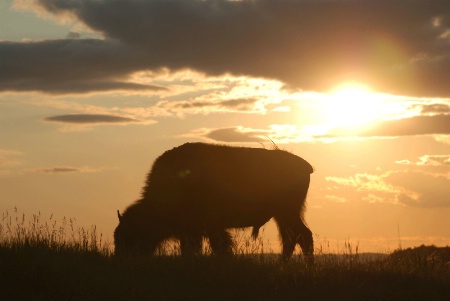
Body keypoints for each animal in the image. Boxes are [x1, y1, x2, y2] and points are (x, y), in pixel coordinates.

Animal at [114, 142, 314, 262]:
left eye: (131, 235)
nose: (121, 258)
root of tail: (306, 166)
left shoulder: (205, 227)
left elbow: (215, 247)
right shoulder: (197, 229)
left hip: (286, 212)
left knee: (301, 236)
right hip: (283, 215)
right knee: (294, 237)